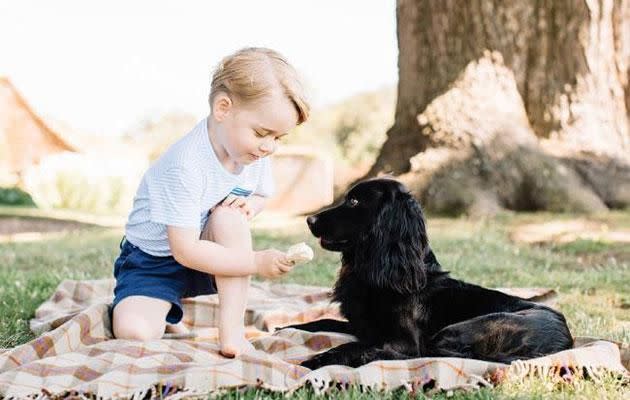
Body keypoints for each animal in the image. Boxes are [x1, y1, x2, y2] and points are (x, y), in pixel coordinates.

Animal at [288, 178, 576, 368]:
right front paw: (285, 328)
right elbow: (319, 323)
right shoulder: (362, 326)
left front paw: (315, 361)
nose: (310, 220)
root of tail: (566, 342)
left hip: (460, 330)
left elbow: (354, 345)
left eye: (354, 201)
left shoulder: (404, 341)